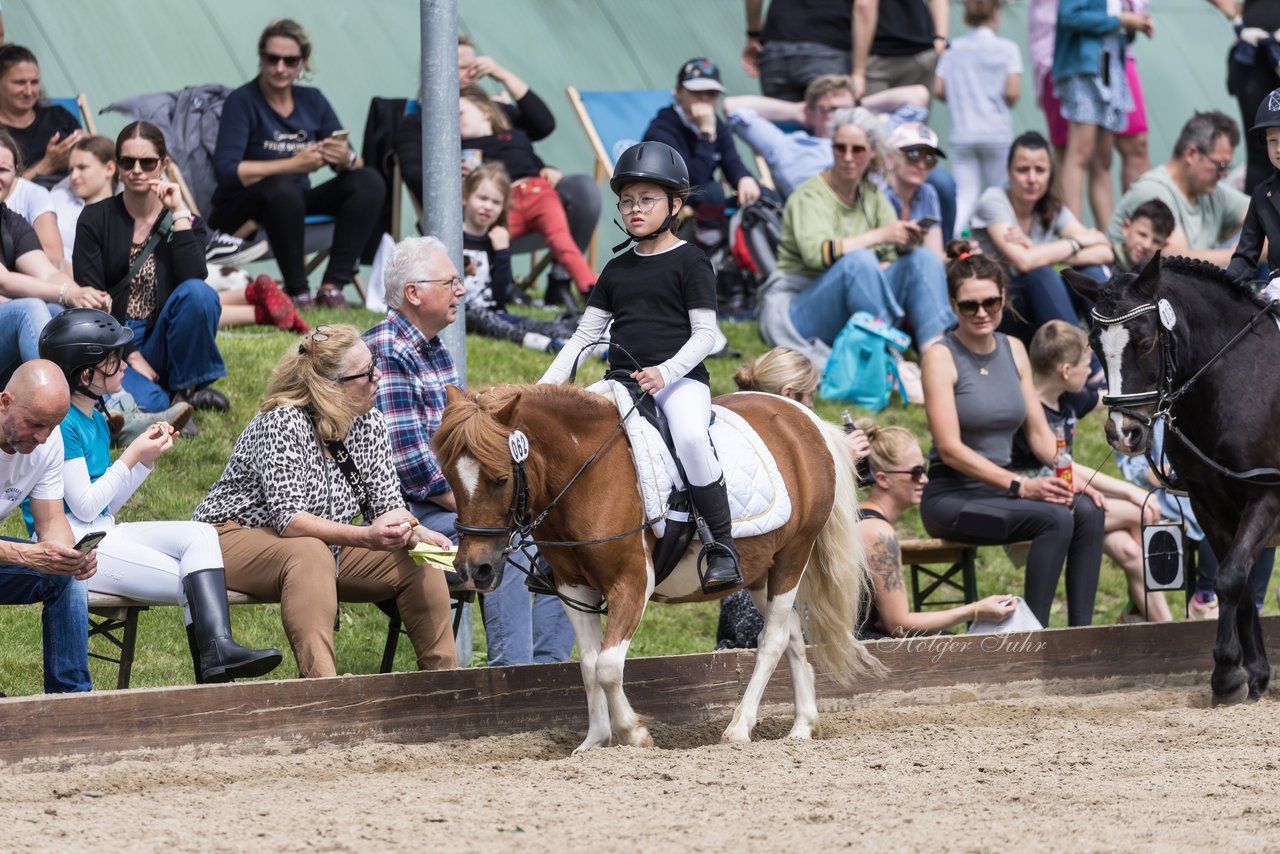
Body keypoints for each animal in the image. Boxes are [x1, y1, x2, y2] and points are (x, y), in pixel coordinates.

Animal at [430, 384, 880, 752]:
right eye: (449, 476)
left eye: (500, 479)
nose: (475, 570)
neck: (585, 473)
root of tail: (805, 419)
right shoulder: (573, 589)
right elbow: (589, 666)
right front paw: (595, 741)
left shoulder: (630, 583)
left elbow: (608, 667)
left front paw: (633, 734)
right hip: (758, 572)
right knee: (792, 636)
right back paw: (802, 727)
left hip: (792, 557)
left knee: (771, 640)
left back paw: (739, 729)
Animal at [1070, 256, 1280, 706]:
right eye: (1095, 346)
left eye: (1147, 344)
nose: (1124, 434)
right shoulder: (1209, 502)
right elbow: (1236, 584)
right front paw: (1249, 676)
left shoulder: (1266, 496)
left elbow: (1231, 577)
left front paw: (1226, 676)